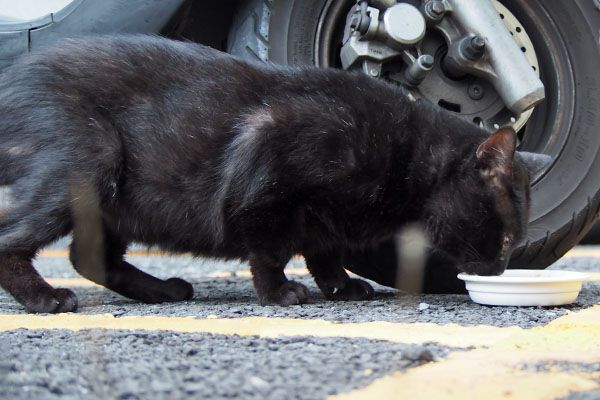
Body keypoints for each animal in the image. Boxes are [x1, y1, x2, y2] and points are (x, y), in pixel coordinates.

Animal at [0, 34, 544, 312]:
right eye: (503, 240)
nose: (500, 269)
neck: (406, 152)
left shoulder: (323, 219)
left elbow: (324, 252)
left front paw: (340, 286)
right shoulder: (266, 179)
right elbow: (270, 250)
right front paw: (278, 292)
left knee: (88, 256)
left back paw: (162, 290)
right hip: (90, 159)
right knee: (12, 241)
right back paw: (46, 299)